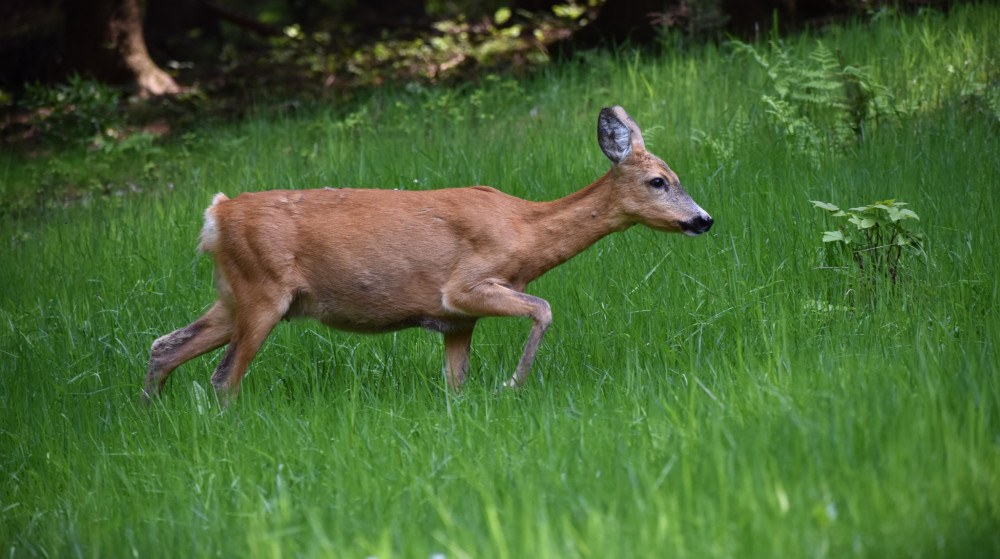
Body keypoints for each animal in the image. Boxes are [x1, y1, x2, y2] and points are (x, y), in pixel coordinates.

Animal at [145, 105, 716, 404]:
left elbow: (455, 384)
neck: (526, 235)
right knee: (223, 377)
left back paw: (152, 414)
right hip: (262, 291)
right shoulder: (464, 286)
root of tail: (216, 215)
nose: (703, 220)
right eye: (659, 181)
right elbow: (545, 309)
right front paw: (511, 384)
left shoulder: (456, 322)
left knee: (164, 345)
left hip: (234, 294)